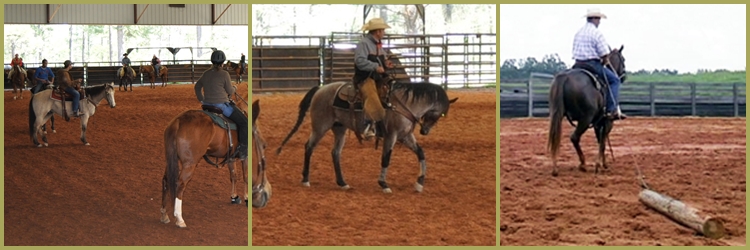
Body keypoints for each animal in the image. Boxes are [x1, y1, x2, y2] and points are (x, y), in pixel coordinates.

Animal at [159, 99, 256, 229]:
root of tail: (178, 122)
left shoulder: (231, 158)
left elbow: (234, 176)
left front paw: (234, 197)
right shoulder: (245, 156)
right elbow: (246, 177)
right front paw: (247, 198)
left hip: (172, 159)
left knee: (166, 180)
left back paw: (164, 214)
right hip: (190, 163)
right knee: (180, 184)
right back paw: (179, 219)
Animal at [276, 79, 458, 193]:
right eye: (442, 114)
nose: (424, 131)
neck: (404, 105)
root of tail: (320, 89)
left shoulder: (405, 136)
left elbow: (421, 153)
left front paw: (419, 184)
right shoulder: (391, 136)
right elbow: (386, 159)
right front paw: (384, 184)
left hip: (340, 129)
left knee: (335, 153)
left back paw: (342, 183)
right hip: (320, 126)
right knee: (309, 147)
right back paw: (306, 179)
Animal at [548, 46, 628, 177]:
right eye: (623, 59)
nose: (624, 76)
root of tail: (564, 77)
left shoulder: (597, 123)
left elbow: (600, 142)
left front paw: (603, 163)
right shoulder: (607, 122)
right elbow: (602, 143)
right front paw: (600, 165)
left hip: (557, 114)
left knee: (555, 136)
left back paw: (555, 168)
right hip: (585, 118)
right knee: (574, 137)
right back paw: (583, 164)